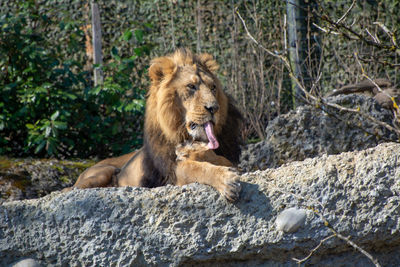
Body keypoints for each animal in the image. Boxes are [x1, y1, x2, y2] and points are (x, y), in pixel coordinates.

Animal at [70, 48, 242, 203]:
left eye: (213, 87)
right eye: (191, 86)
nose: (214, 108)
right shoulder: (170, 173)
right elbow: (193, 168)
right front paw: (227, 180)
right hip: (104, 171)